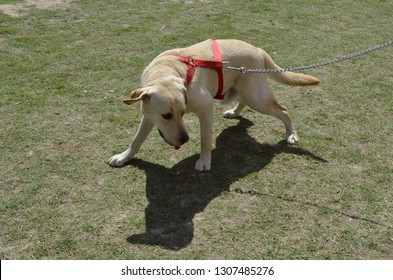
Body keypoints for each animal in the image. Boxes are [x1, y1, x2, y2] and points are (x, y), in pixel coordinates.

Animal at [107, 39, 318, 171]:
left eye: (182, 113)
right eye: (166, 115)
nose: (184, 140)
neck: (168, 69)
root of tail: (260, 50)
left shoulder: (205, 108)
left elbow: (205, 140)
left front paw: (204, 161)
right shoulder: (149, 116)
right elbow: (136, 140)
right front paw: (124, 157)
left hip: (257, 97)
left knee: (283, 110)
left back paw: (291, 134)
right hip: (244, 90)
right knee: (243, 100)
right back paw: (234, 112)